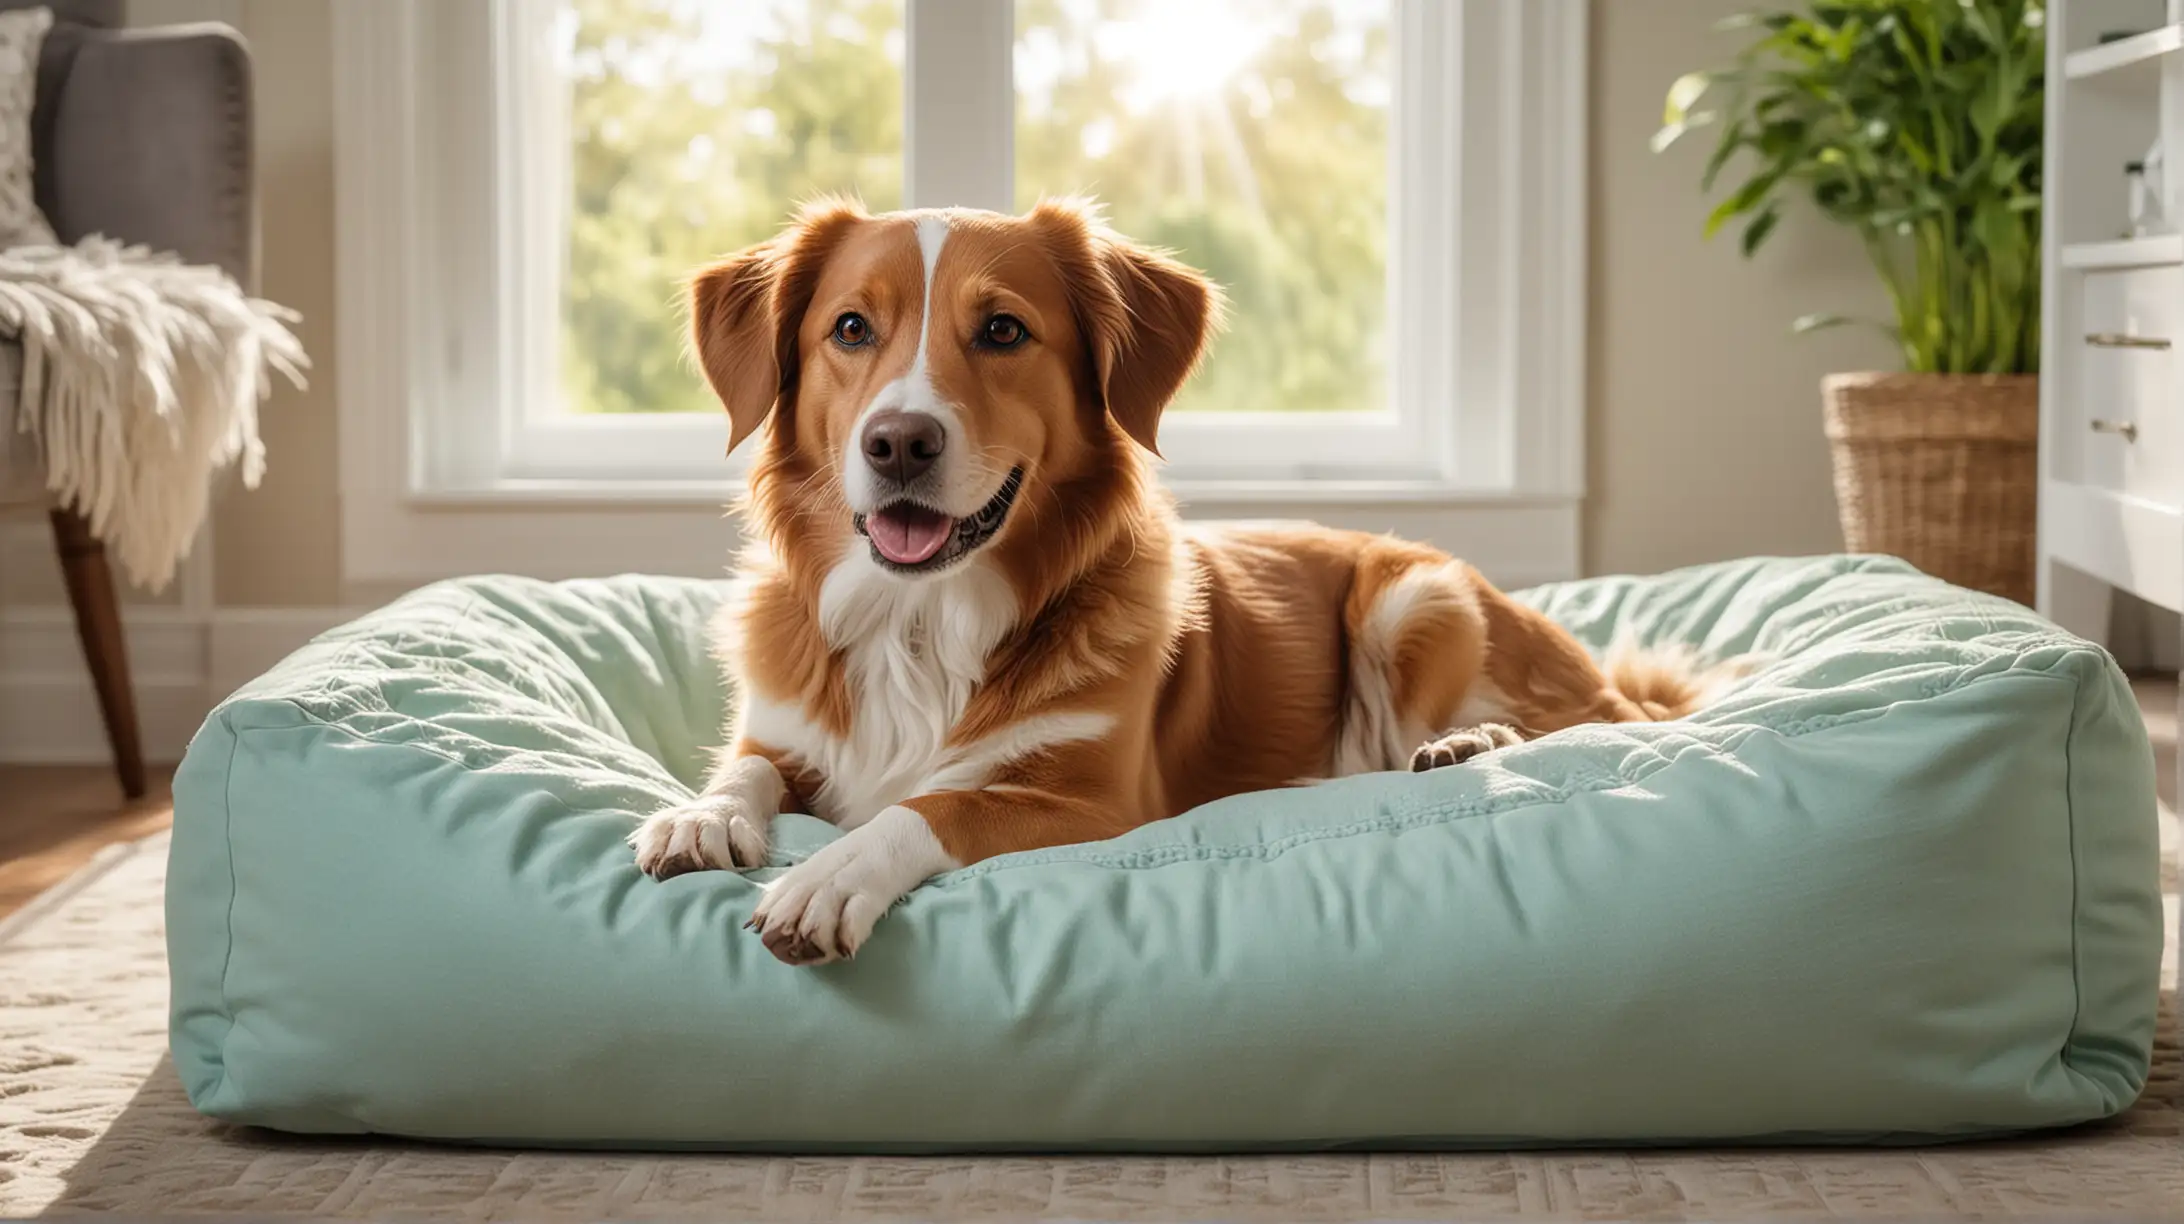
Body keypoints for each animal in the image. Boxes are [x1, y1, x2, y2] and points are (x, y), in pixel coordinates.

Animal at [633, 198, 1738, 966]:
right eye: (852, 329)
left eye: (1003, 331)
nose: (899, 442)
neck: (922, 620)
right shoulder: (785, 731)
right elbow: (745, 766)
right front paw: (703, 814)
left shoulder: (1099, 804)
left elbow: (932, 807)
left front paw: (832, 875)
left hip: (1415, 596)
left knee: (1580, 725)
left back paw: (1466, 745)